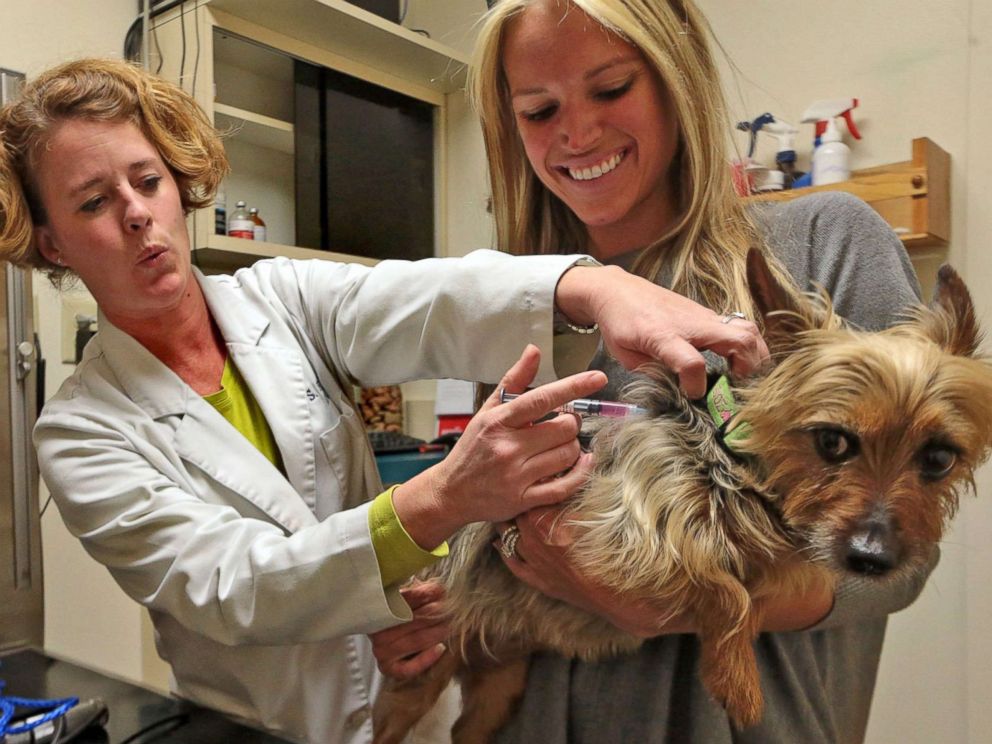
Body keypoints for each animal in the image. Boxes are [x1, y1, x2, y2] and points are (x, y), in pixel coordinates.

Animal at [370, 251, 992, 744]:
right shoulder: (616, 534)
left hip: (502, 680)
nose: (872, 559)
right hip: (415, 675)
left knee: (468, 727)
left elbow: (753, 587)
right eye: (832, 441)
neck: (733, 459)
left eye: (939, 459)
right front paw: (737, 680)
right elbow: (723, 591)